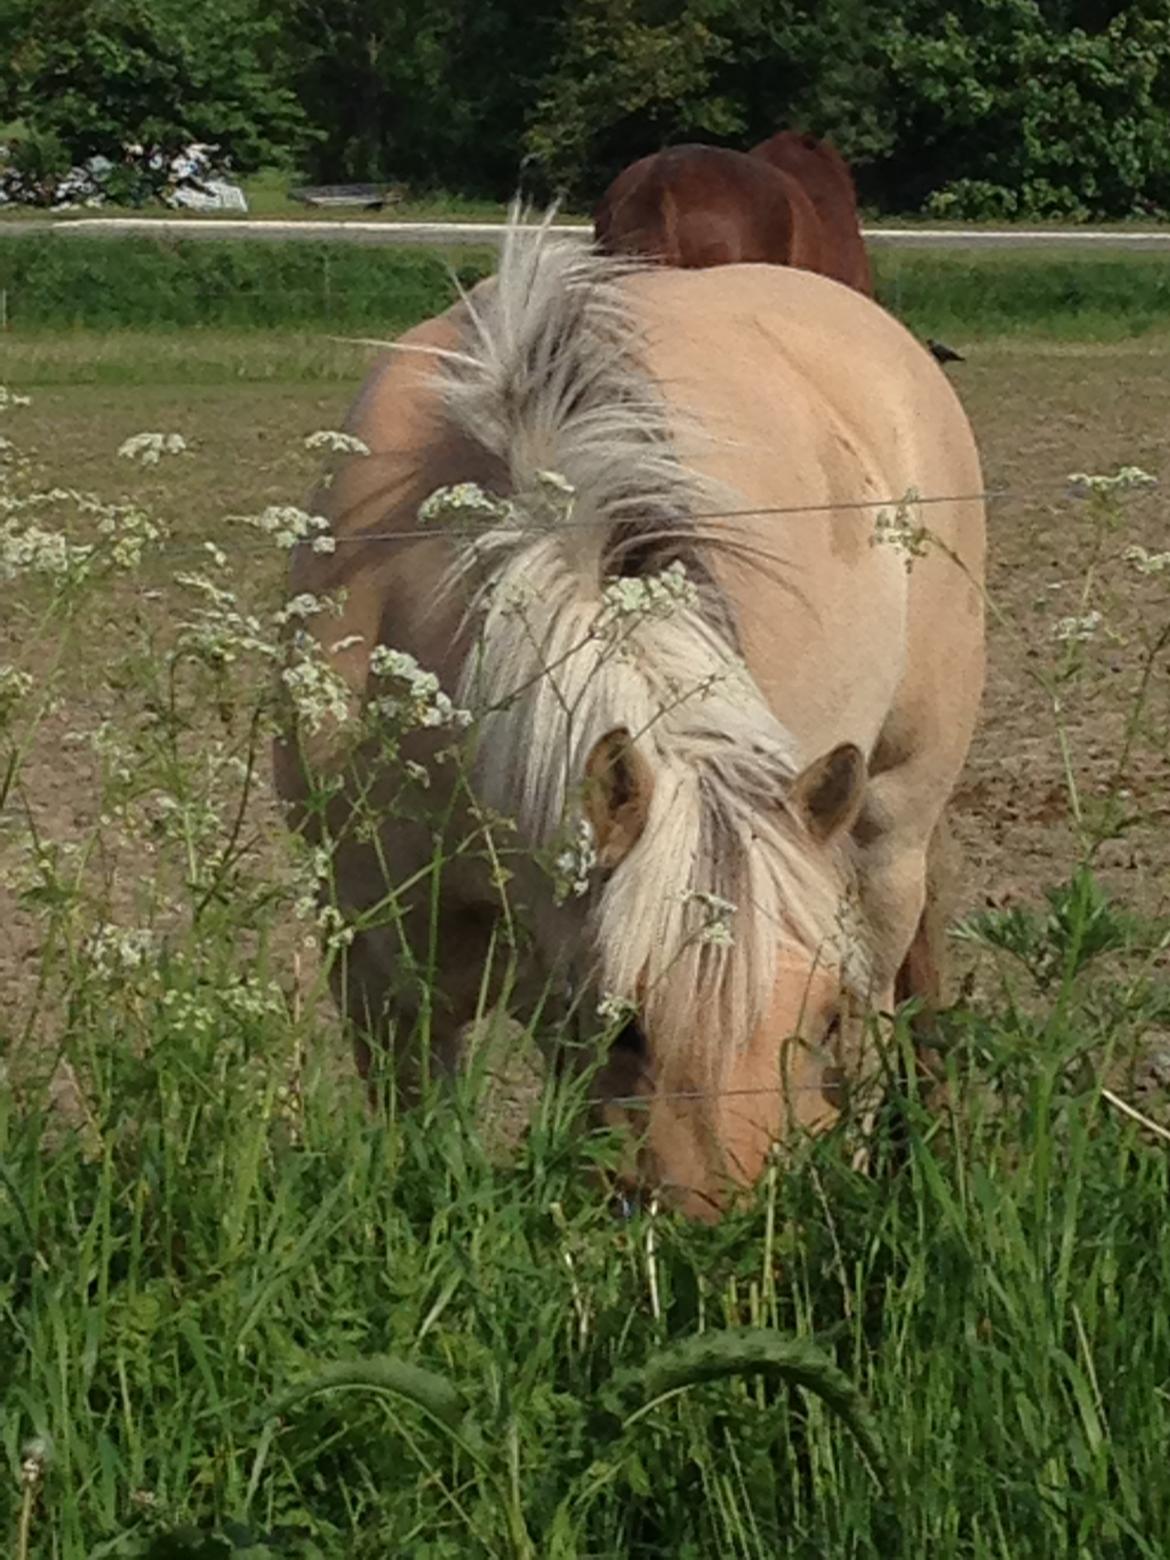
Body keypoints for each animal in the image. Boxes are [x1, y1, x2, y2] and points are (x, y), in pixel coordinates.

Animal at [277, 216, 992, 1216]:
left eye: (814, 1019)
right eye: (625, 1028)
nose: (735, 1229)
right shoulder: (383, 962)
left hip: (890, 832)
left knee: (886, 997)